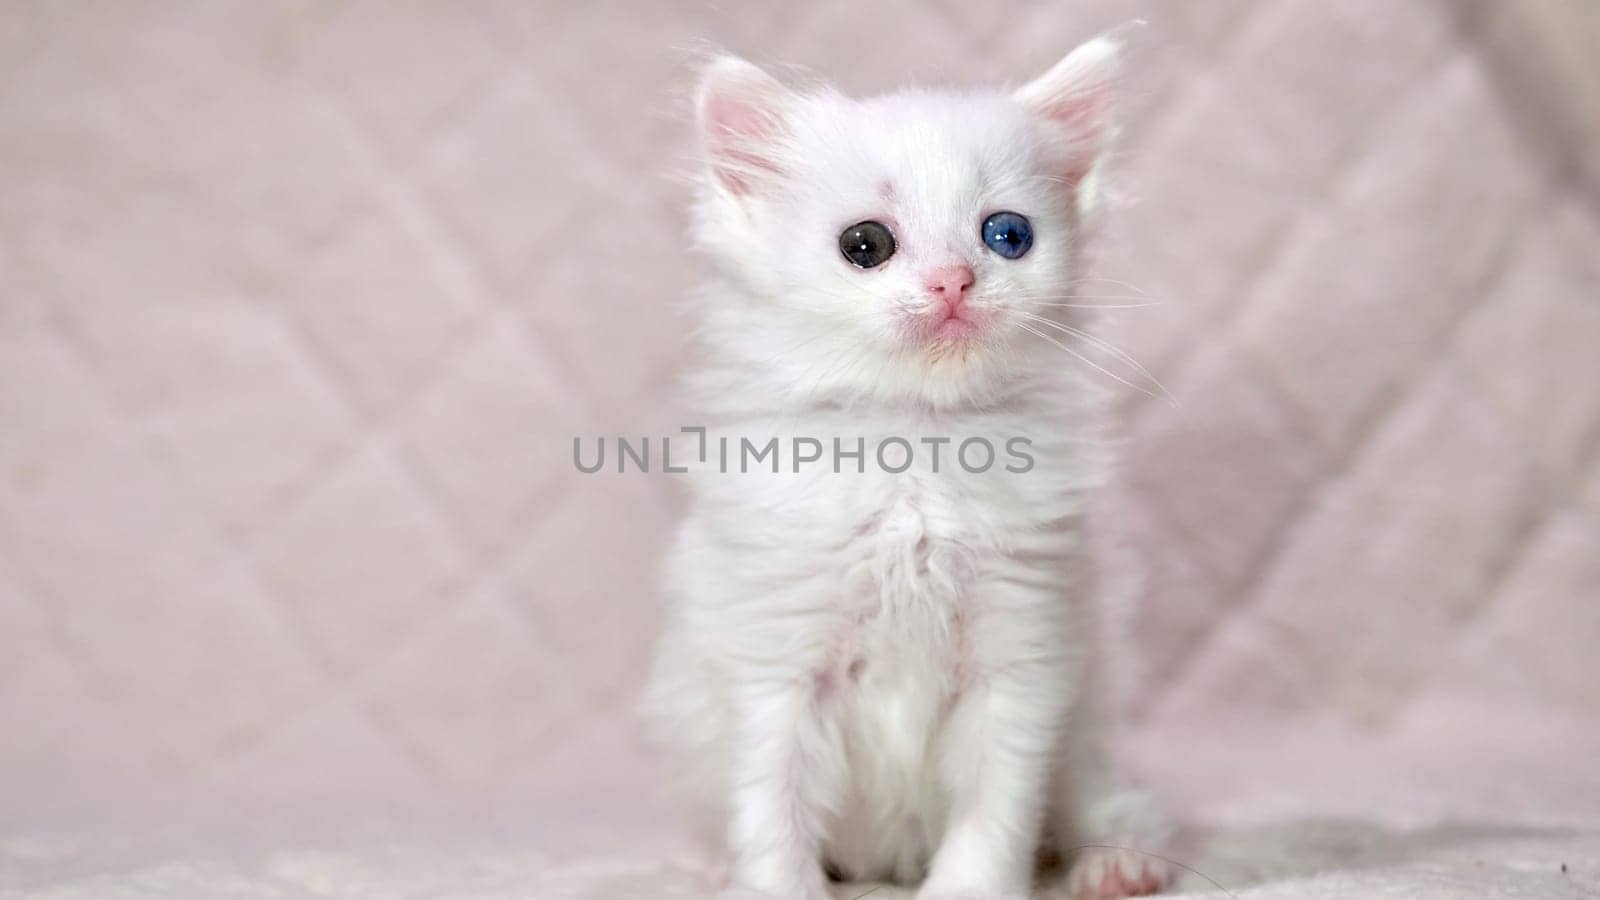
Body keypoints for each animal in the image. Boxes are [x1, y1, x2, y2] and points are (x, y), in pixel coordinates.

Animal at [640, 36, 1177, 896]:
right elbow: (772, 806)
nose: (953, 280)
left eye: (1007, 235)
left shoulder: (1022, 652)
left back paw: (1115, 862)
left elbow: (996, 810)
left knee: (1105, 800)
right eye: (866, 245)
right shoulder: (776, 664)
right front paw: (776, 887)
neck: (916, 452)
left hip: (1090, 717)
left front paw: (970, 889)